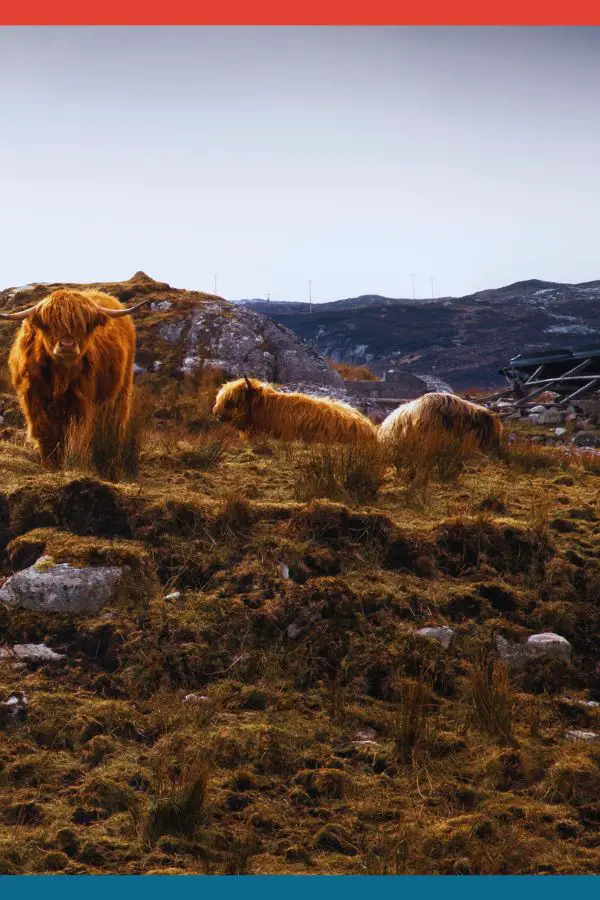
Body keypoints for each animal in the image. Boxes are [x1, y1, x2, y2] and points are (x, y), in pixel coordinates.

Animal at [1, 290, 149, 472]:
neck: (60, 377)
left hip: (121, 392)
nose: (67, 345)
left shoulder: (80, 401)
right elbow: (45, 431)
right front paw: (50, 464)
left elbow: (73, 432)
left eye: (83, 325)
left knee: (114, 421)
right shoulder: (34, 399)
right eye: (50, 324)